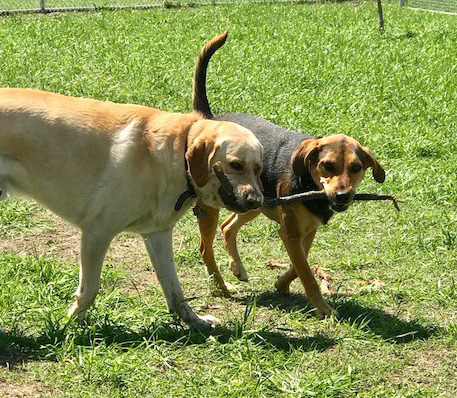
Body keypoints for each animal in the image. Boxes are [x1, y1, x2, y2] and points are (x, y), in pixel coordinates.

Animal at [0, 84, 262, 330]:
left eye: (258, 169)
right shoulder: (97, 233)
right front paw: (71, 324)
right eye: (236, 165)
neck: (178, 154)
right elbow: (89, 290)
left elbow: (175, 291)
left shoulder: (157, 236)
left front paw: (196, 322)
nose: (257, 202)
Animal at [192, 32, 384, 318]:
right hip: (211, 206)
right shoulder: (290, 233)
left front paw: (281, 284)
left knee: (228, 227)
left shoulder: (307, 231)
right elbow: (306, 272)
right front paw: (322, 307)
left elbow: (299, 265)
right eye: (327, 165)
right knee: (206, 246)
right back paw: (221, 287)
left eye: (356, 168)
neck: (309, 184)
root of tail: (212, 119)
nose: (342, 196)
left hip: (254, 203)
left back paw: (237, 268)